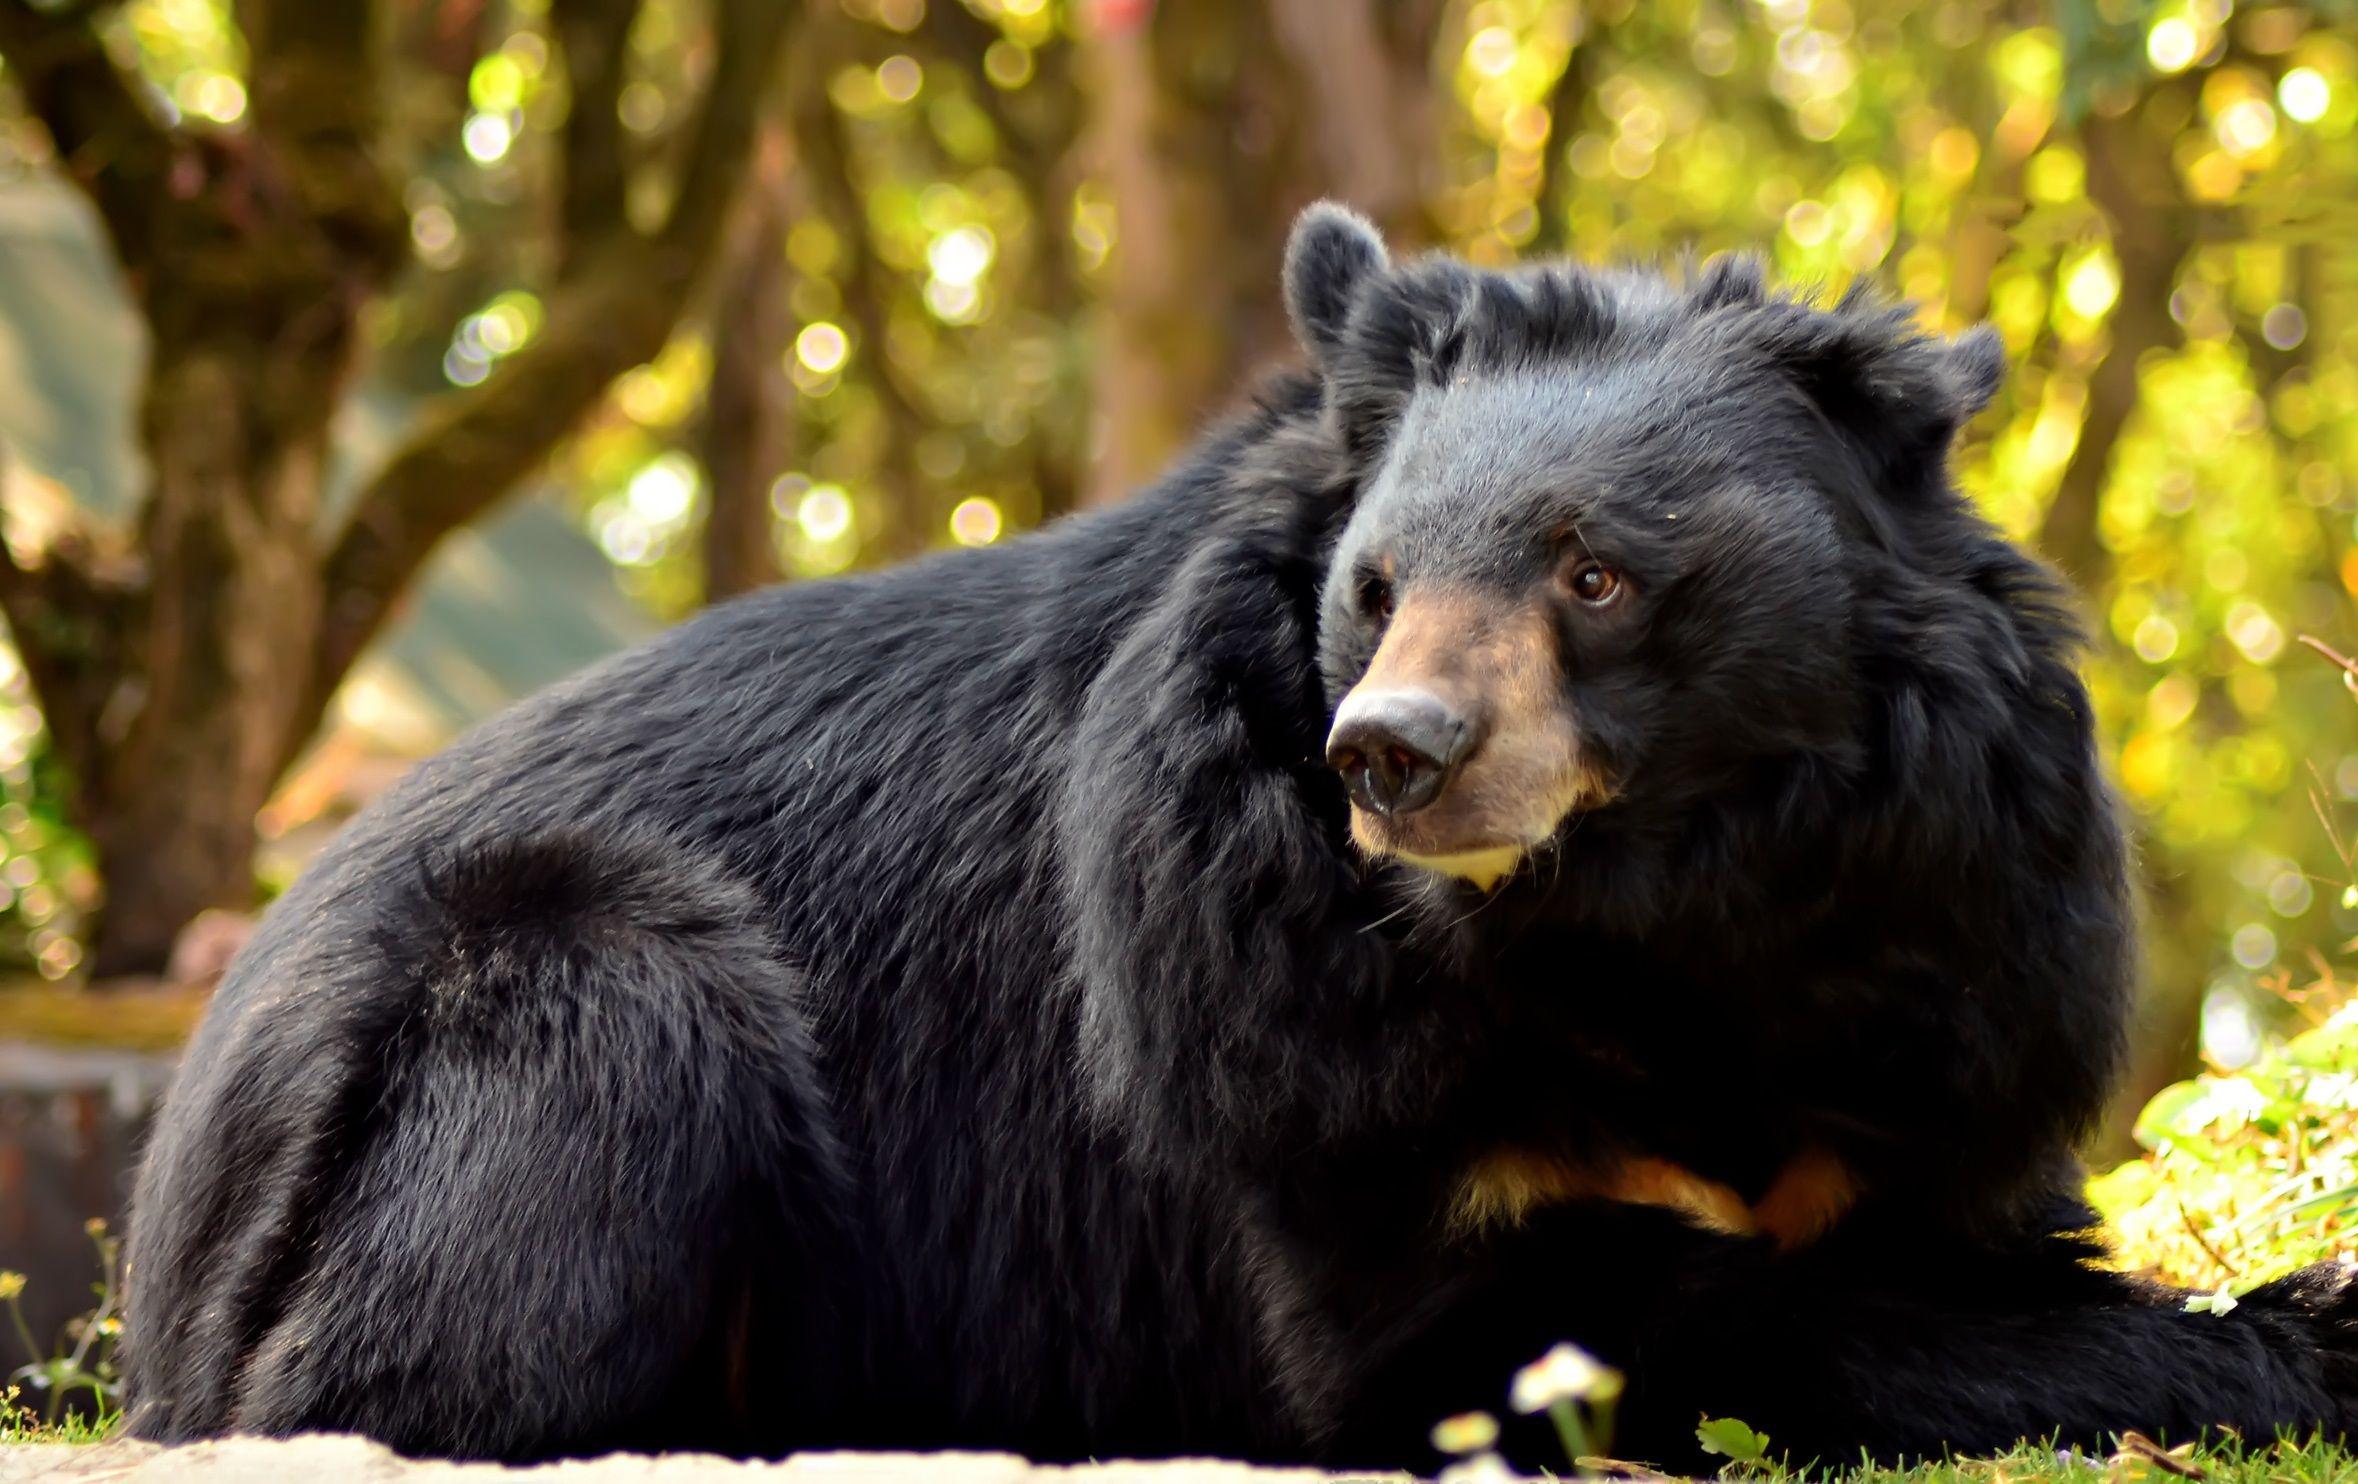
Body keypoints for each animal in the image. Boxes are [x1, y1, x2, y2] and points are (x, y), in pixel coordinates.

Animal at [121, 204, 2358, 1471]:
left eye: (1596, 578)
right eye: (1374, 590)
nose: (1394, 759)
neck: (1633, 907)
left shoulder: (1962, 917)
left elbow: (1930, 1181)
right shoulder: (1256, 995)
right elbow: (1484, 1320)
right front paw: (2244, 1354)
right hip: (547, 997)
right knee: (408, 1348)